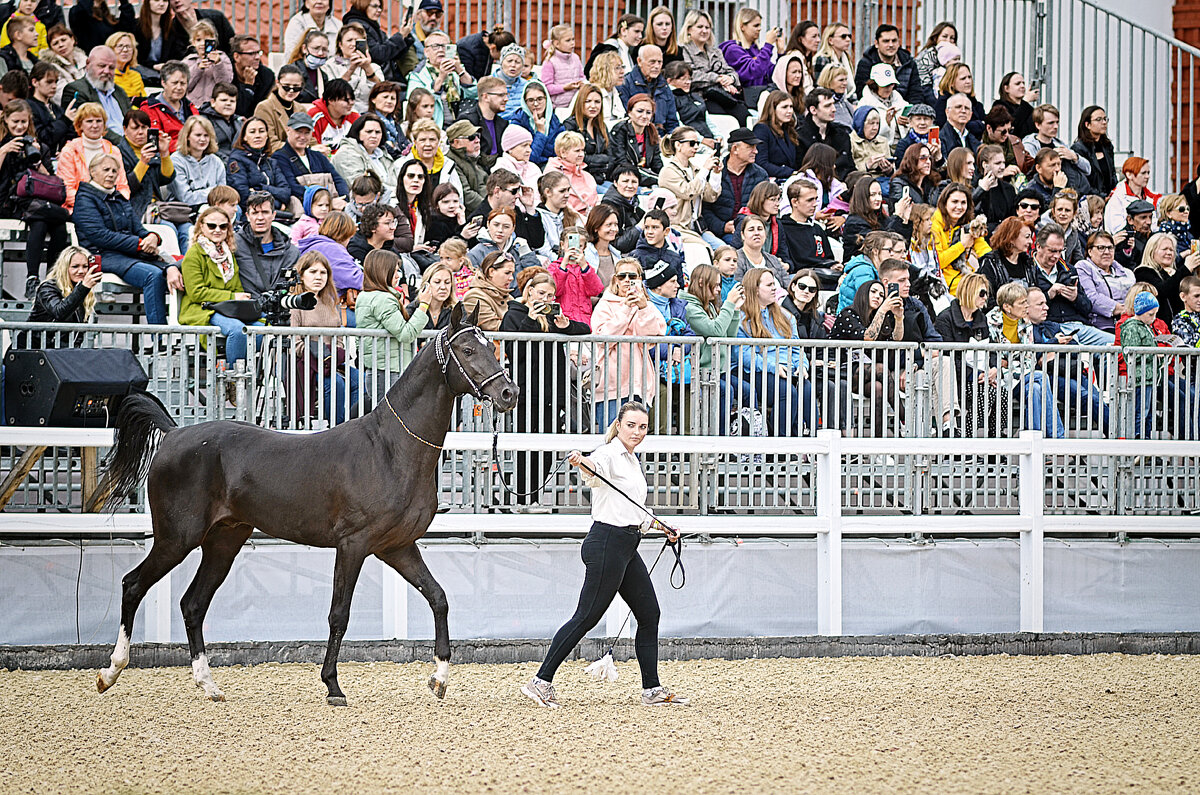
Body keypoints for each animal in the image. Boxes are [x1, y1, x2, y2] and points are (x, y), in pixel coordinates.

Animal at [96, 305, 518, 706]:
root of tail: (173, 434)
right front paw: (333, 686)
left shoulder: (397, 547)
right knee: (134, 585)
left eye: (491, 347)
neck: (391, 449)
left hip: (224, 541)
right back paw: (110, 673)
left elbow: (438, 598)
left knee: (193, 604)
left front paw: (439, 679)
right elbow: (339, 615)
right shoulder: (353, 545)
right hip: (177, 538)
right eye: (468, 350)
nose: (509, 394)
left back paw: (209, 685)